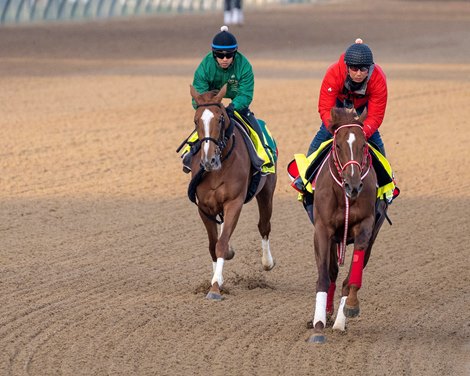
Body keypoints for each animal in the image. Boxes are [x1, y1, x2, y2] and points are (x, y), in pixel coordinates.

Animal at [188, 84, 278, 300]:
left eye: (220, 118)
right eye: (196, 120)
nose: (208, 160)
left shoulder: (234, 202)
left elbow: (220, 244)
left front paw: (214, 289)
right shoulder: (204, 207)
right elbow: (214, 245)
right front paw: (217, 280)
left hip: (267, 191)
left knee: (264, 225)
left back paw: (267, 262)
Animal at [308, 106, 386, 344]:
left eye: (363, 145)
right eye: (338, 145)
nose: (353, 185)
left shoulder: (366, 226)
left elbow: (353, 275)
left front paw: (349, 307)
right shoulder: (322, 230)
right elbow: (324, 276)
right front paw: (318, 323)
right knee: (332, 271)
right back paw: (327, 312)